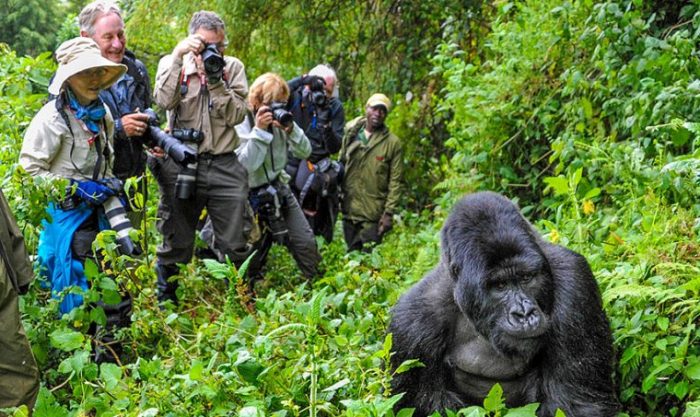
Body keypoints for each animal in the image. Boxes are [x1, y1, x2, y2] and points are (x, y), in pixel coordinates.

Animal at [386, 192, 620, 416]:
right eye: (499, 285)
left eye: (526, 278)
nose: (524, 313)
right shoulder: (411, 326)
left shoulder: (575, 282)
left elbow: (576, 403)